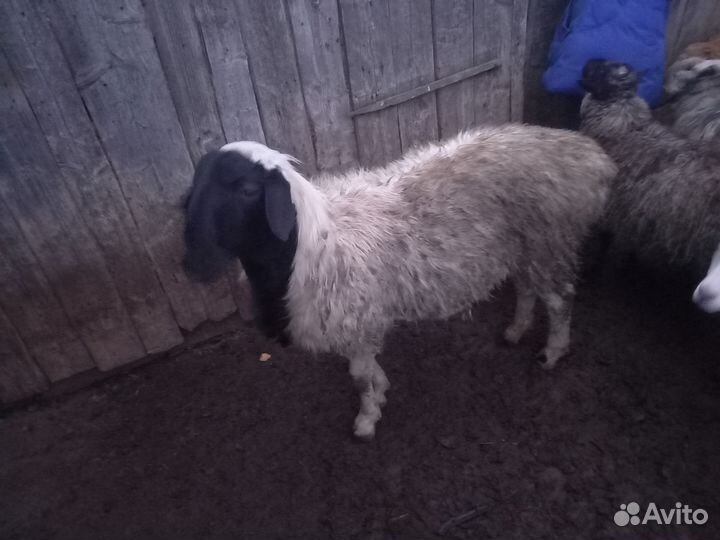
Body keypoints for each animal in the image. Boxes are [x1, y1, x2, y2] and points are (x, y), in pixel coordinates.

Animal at [181, 125, 615, 439]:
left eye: (246, 189)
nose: (193, 266)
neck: (307, 245)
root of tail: (591, 157)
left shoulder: (357, 317)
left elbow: (358, 379)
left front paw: (367, 419)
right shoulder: (360, 321)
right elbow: (366, 369)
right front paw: (382, 388)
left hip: (550, 239)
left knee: (559, 299)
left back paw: (552, 352)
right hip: (525, 245)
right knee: (527, 289)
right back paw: (515, 330)